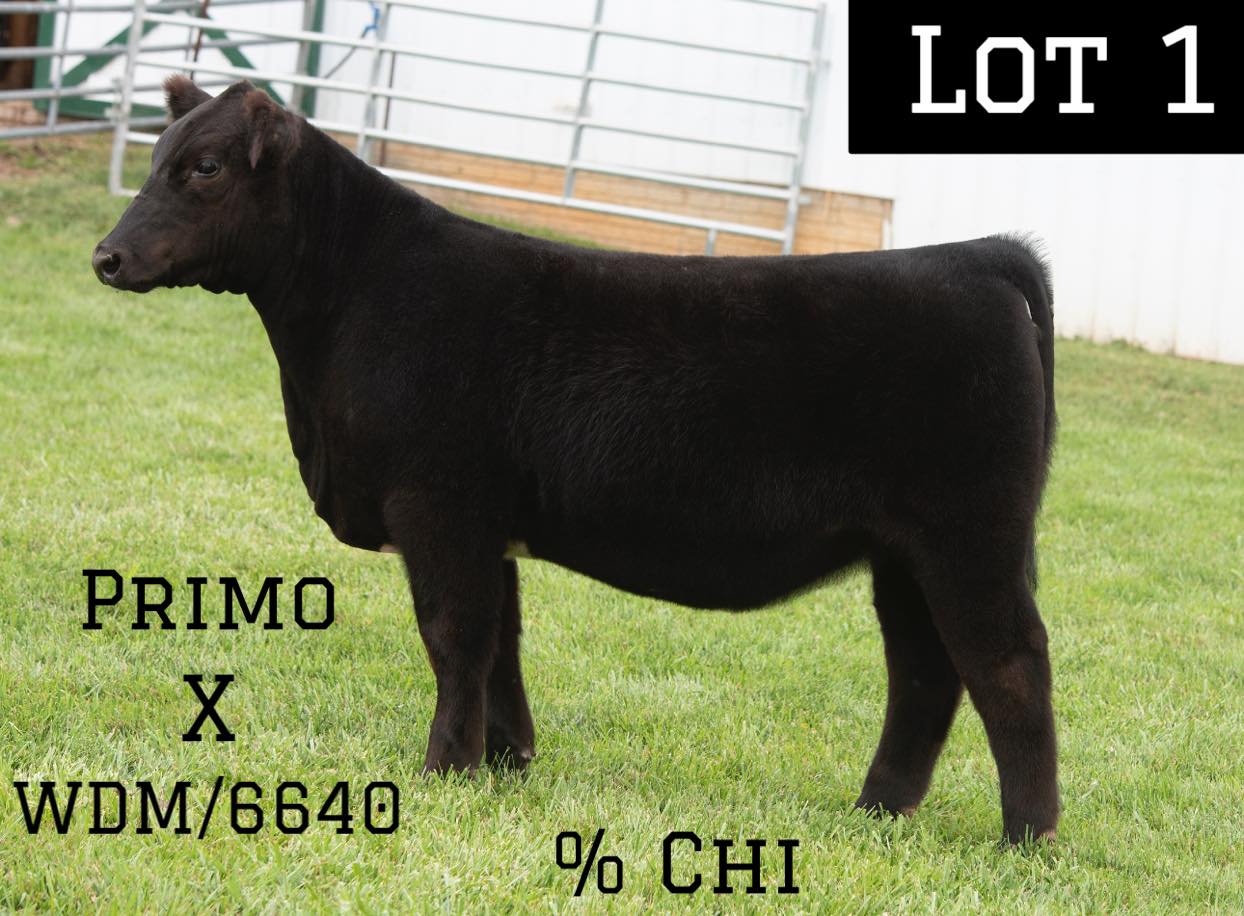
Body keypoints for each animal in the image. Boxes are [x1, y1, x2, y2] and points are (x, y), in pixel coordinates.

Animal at [93, 77, 1059, 844]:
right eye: (156, 157)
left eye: (205, 169)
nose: (106, 255)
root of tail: (977, 257)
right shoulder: (489, 524)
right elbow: (501, 643)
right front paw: (506, 763)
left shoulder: (438, 505)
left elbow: (454, 636)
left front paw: (444, 769)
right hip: (904, 551)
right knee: (926, 671)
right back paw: (879, 812)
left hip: (969, 535)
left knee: (1007, 662)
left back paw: (1029, 839)